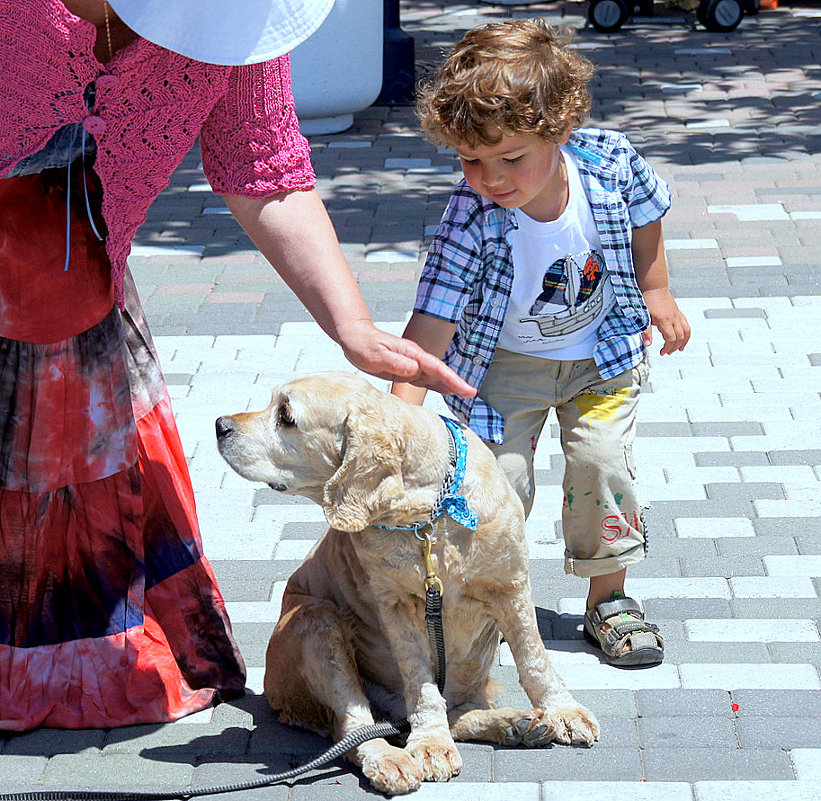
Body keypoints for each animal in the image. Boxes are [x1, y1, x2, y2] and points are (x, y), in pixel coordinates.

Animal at [215, 370, 600, 792]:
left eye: (285, 415)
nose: (220, 425)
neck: (429, 517)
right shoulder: (397, 606)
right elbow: (421, 686)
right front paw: (430, 745)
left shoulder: (511, 583)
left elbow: (534, 659)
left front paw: (562, 710)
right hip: (314, 620)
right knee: (352, 730)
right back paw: (391, 758)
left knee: (447, 711)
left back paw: (516, 723)